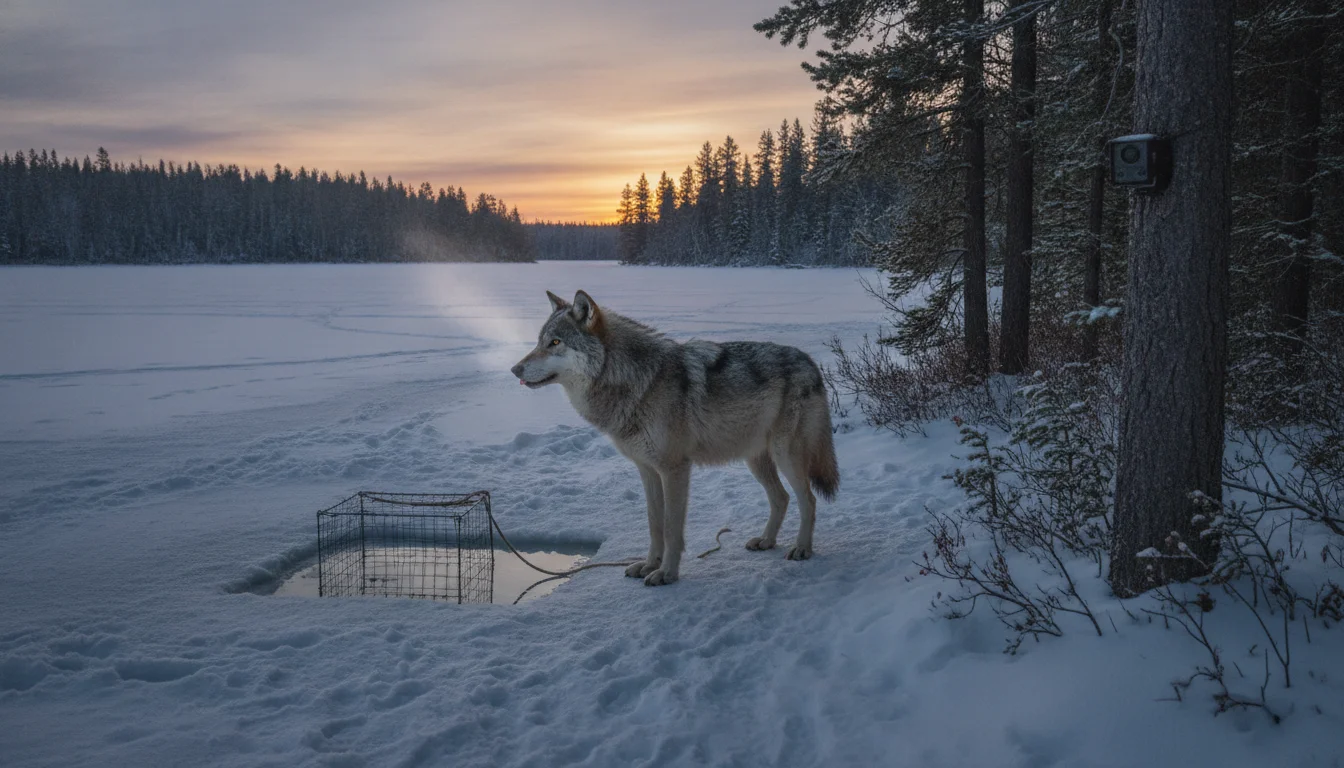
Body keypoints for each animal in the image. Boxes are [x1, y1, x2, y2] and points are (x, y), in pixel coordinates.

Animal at [510, 290, 839, 586]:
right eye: (539, 341)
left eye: (555, 342)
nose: (514, 369)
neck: (637, 382)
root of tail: (810, 362)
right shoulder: (647, 471)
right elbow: (654, 525)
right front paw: (648, 565)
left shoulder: (674, 469)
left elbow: (671, 528)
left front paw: (666, 574)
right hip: (755, 460)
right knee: (781, 498)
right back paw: (767, 541)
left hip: (786, 456)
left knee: (808, 500)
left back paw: (802, 549)